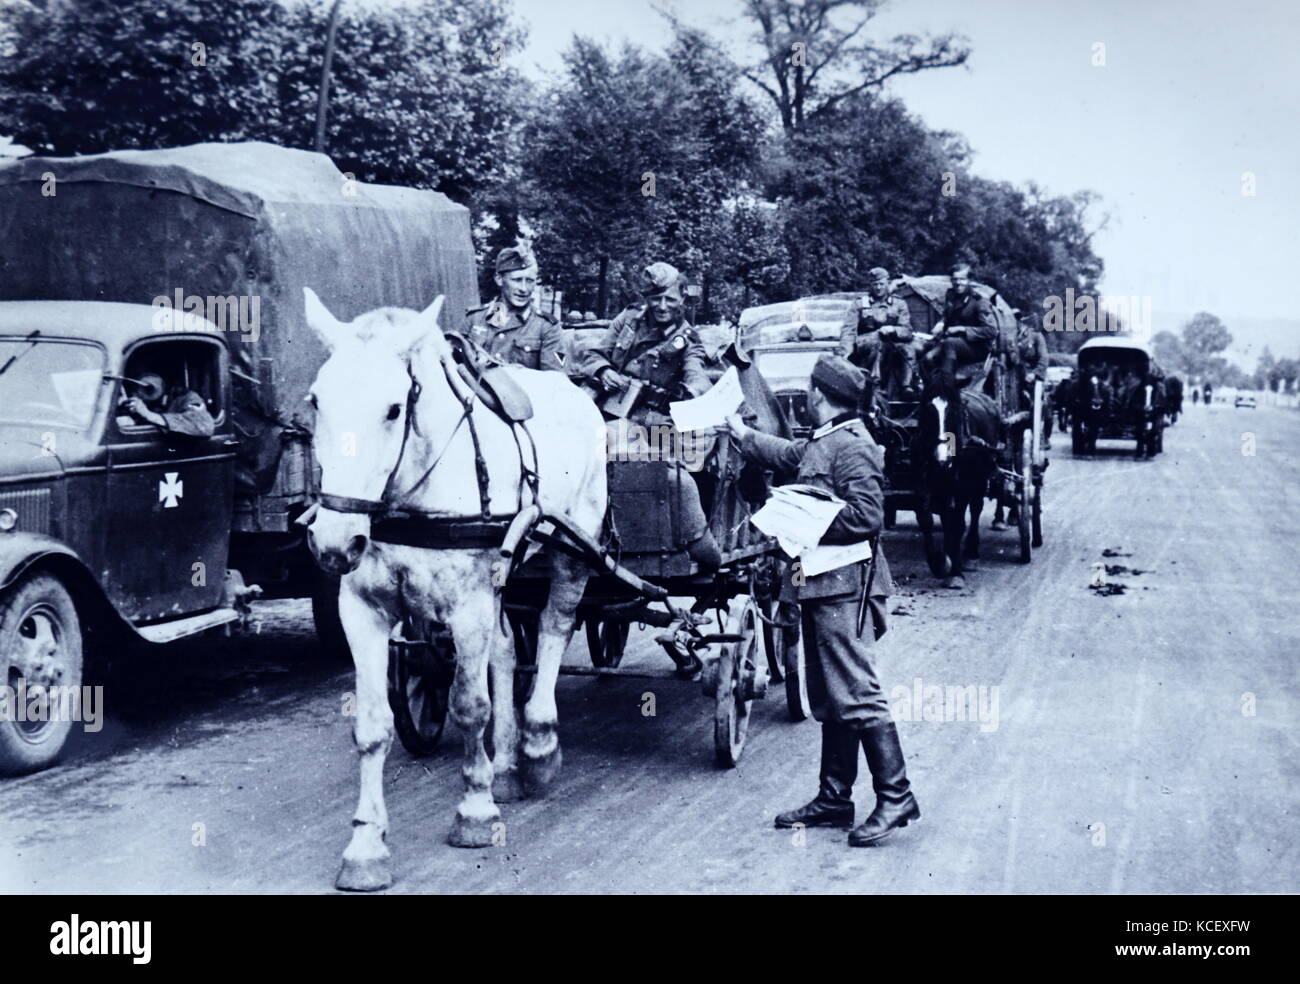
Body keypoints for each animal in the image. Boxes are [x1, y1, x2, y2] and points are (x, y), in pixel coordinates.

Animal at [301, 285, 605, 889]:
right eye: (317, 401)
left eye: (394, 409)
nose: (334, 541)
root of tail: (576, 390)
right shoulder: (362, 609)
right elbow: (372, 725)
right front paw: (365, 846)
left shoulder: (468, 606)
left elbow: (470, 705)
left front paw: (475, 811)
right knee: (508, 653)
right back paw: (507, 764)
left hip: (570, 549)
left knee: (554, 631)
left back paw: (539, 744)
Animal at [909, 389, 998, 590]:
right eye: (927, 411)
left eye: (955, 413)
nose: (942, 461)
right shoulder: (920, 481)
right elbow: (926, 519)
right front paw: (939, 563)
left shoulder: (962, 487)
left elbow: (957, 523)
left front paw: (955, 573)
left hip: (979, 479)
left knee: (975, 509)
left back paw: (971, 553)